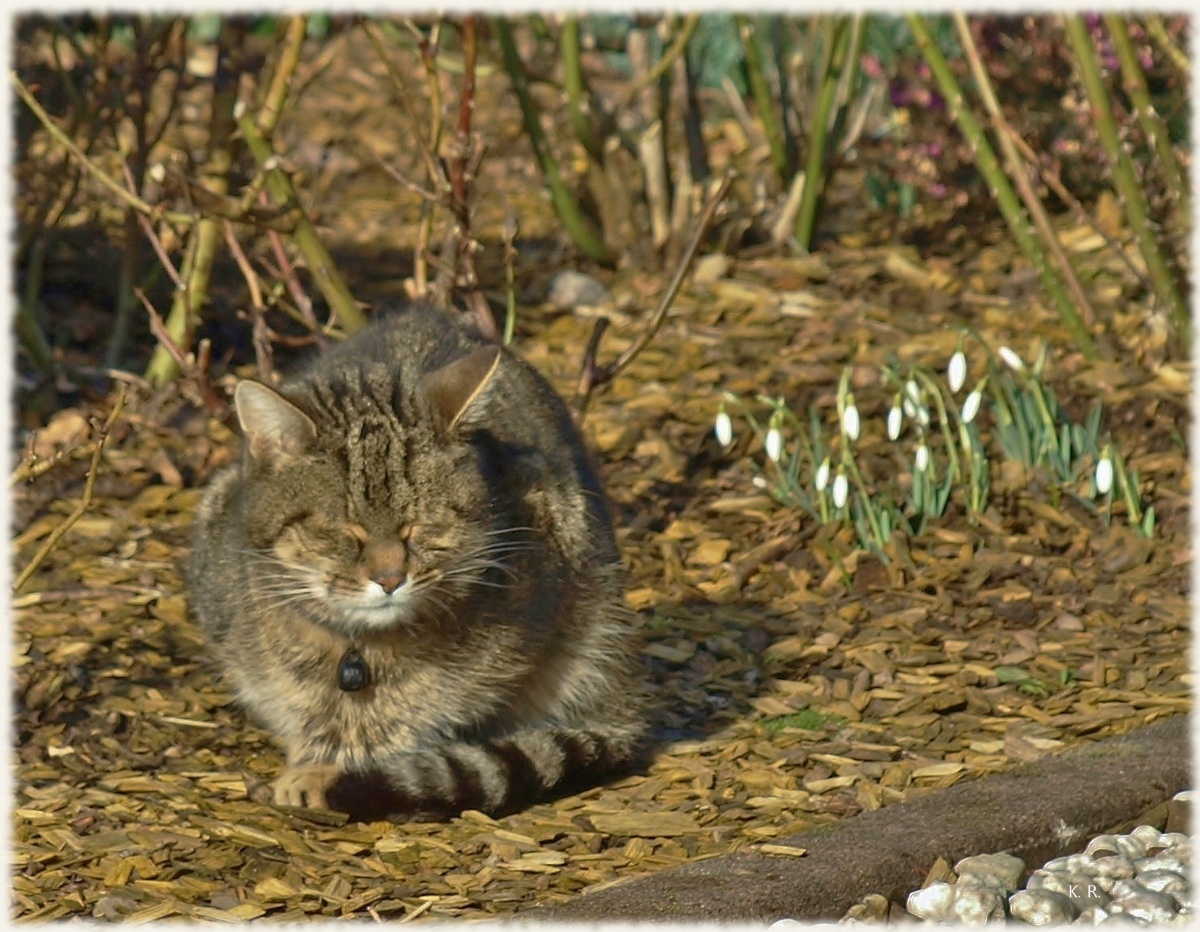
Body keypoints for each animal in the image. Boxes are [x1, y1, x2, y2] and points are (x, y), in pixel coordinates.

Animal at [189, 302, 648, 820]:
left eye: (419, 525)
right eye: (346, 531)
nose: (390, 578)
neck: (357, 648)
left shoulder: (499, 646)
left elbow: (412, 708)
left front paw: (338, 769)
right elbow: (302, 701)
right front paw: (316, 754)